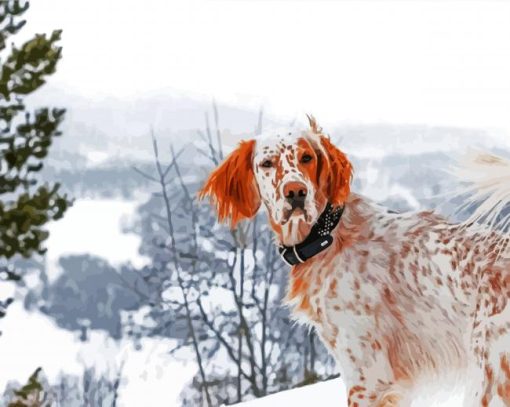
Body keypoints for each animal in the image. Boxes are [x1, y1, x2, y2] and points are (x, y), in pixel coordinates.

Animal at [199, 116, 510, 406]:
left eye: (306, 157)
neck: (327, 235)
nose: (296, 193)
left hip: (490, 383)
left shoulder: (366, 374)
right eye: (266, 163)